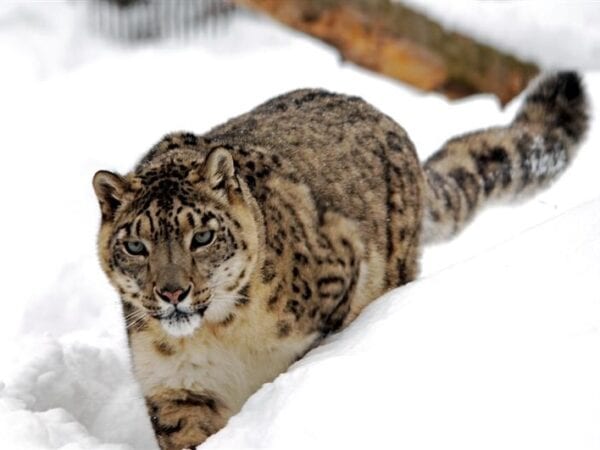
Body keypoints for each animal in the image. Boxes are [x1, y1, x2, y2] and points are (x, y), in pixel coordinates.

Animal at [92, 72, 584, 448]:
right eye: (136, 246)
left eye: (203, 236)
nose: (173, 292)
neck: (219, 335)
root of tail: (383, 117)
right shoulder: (178, 387)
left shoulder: (337, 279)